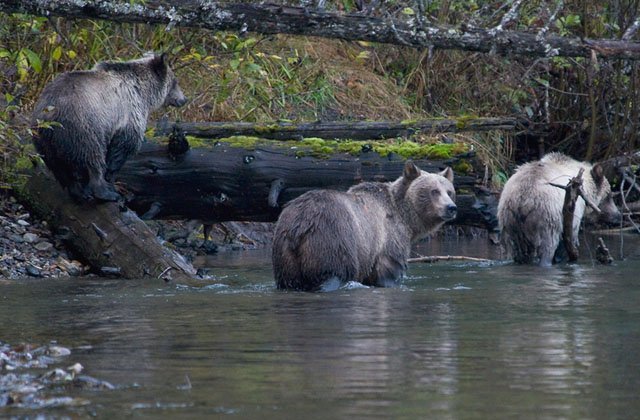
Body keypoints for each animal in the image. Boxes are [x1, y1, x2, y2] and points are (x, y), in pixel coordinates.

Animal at [31, 53, 186, 202]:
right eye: (175, 82)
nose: (184, 99)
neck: (144, 93)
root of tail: (49, 114)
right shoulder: (129, 113)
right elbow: (122, 147)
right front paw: (111, 180)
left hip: (45, 141)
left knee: (60, 169)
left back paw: (80, 194)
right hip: (83, 127)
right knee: (92, 157)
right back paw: (106, 193)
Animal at [272, 161, 458, 292]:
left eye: (449, 191)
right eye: (434, 191)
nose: (451, 207)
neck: (406, 218)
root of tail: (300, 225)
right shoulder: (389, 239)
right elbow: (390, 270)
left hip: (285, 256)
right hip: (332, 240)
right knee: (333, 274)